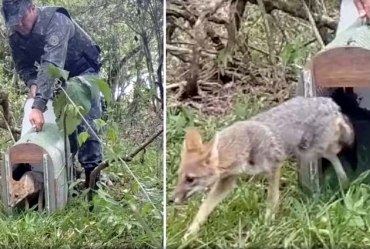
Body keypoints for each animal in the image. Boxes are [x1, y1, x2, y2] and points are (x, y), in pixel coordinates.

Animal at [170, 96, 356, 240]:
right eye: (179, 176)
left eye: (190, 179)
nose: (171, 199)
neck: (244, 145)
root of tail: (329, 102)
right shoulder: (227, 181)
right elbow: (203, 210)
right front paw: (189, 235)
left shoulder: (275, 165)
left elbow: (272, 198)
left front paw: (267, 225)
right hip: (312, 151)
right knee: (335, 157)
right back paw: (344, 182)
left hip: (313, 150)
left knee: (338, 148)